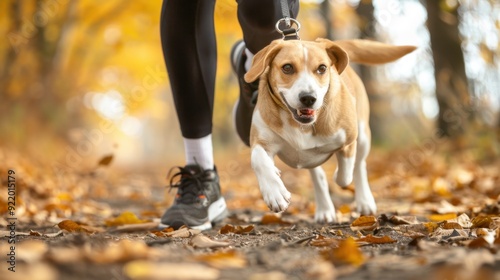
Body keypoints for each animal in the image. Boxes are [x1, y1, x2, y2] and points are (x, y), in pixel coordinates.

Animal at [244, 38, 416, 222]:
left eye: (322, 68)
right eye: (287, 67)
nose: (308, 98)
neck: (301, 125)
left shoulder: (349, 139)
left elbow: (344, 175)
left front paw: (339, 176)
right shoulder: (261, 141)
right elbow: (259, 160)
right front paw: (275, 193)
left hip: (363, 135)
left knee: (359, 166)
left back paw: (364, 201)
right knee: (318, 175)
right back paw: (324, 209)